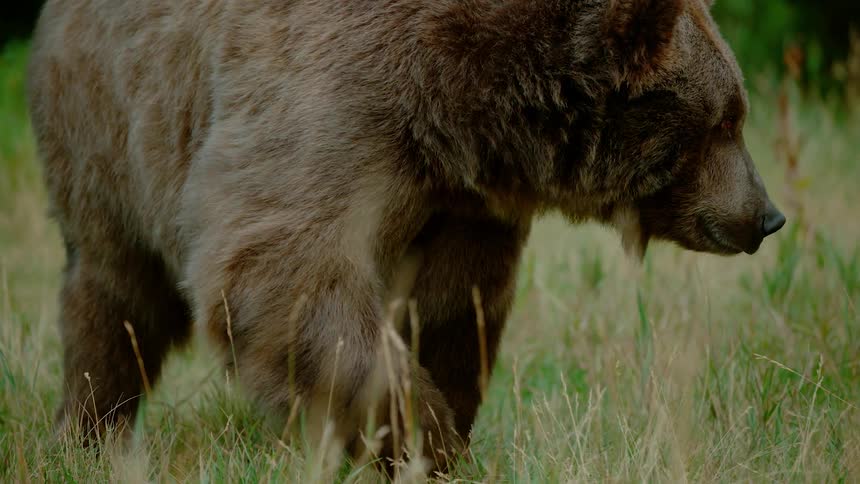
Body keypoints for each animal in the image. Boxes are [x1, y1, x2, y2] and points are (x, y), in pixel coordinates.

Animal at [27, 0, 785, 474]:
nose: (767, 216)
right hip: (109, 128)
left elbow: (452, 307)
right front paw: (427, 439)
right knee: (116, 295)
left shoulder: (459, 200)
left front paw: (441, 427)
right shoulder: (334, 100)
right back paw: (89, 432)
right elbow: (285, 268)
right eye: (728, 119)